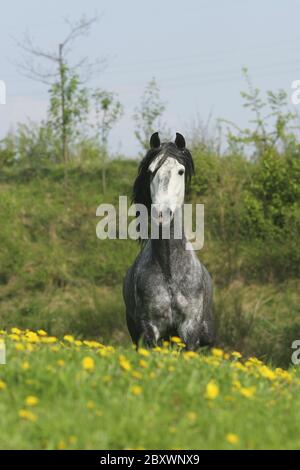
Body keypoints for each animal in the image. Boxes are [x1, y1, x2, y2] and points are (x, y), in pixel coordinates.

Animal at [123, 132, 214, 348]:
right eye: (151, 171)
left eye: (181, 171)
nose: (162, 213)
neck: (170, 272)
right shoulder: (149, 328)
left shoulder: (190, 328)